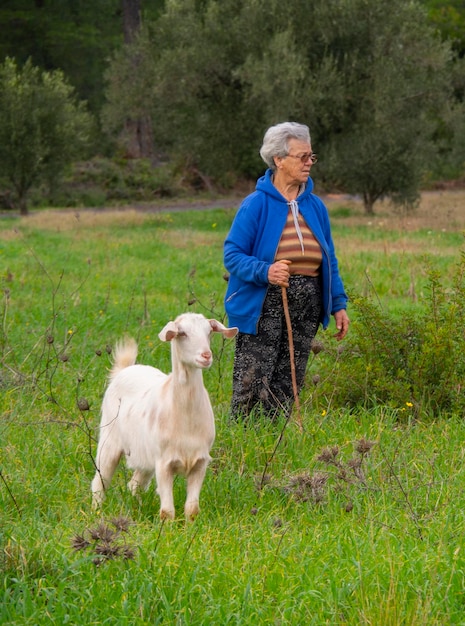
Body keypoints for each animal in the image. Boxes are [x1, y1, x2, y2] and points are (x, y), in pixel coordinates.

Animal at [91, 310, 237, 520]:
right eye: (182, 333)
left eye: (209, 332)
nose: (206, 355)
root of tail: (125, 370)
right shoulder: (163, 462)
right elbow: (167, 511)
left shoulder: (200, 462)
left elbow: (192, 509)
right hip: (109, 440)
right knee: (100, 480)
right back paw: (96, 512)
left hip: (144, 454)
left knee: (135, 484)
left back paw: (137, 509)